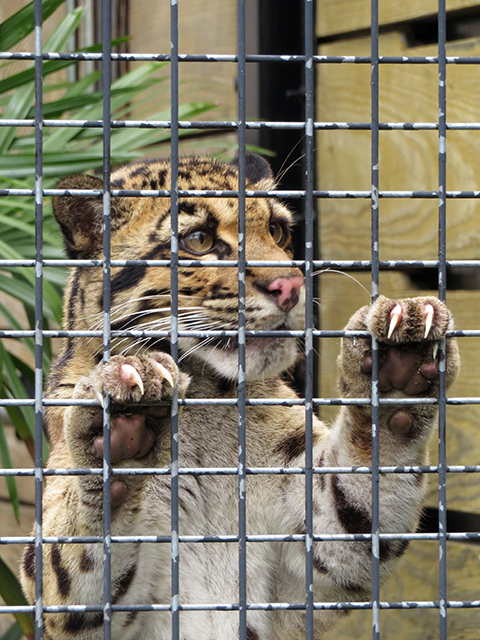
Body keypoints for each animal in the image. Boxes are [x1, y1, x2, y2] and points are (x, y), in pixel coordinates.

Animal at [19, 155, 462, 640]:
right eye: (199, 240)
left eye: (278, 230)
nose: (291, 286)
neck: (206, 400)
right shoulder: (70, 604)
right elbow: (75, 555)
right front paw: (121, 421)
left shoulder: (317, 552)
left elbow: (360, 494)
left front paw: (400, 355)